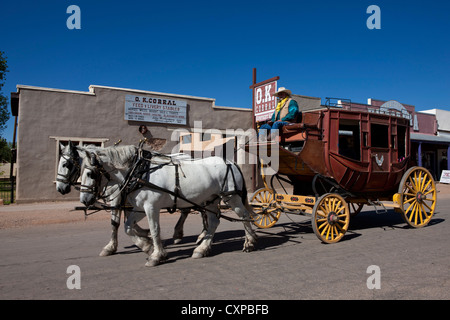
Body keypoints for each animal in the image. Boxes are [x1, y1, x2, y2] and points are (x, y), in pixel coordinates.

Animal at [79, 146, 258, 268]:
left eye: (90, 174)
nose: (84, 200)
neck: (140, 171)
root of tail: (231, 162)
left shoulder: (151, 206)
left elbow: (154, 230)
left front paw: (156, 255)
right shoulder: (139, 208)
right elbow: (128, 227)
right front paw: (147, 246)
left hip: (231, 197)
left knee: (244, 216)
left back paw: (249, 242)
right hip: (212, 199)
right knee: (214, 222)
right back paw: (202, 249)